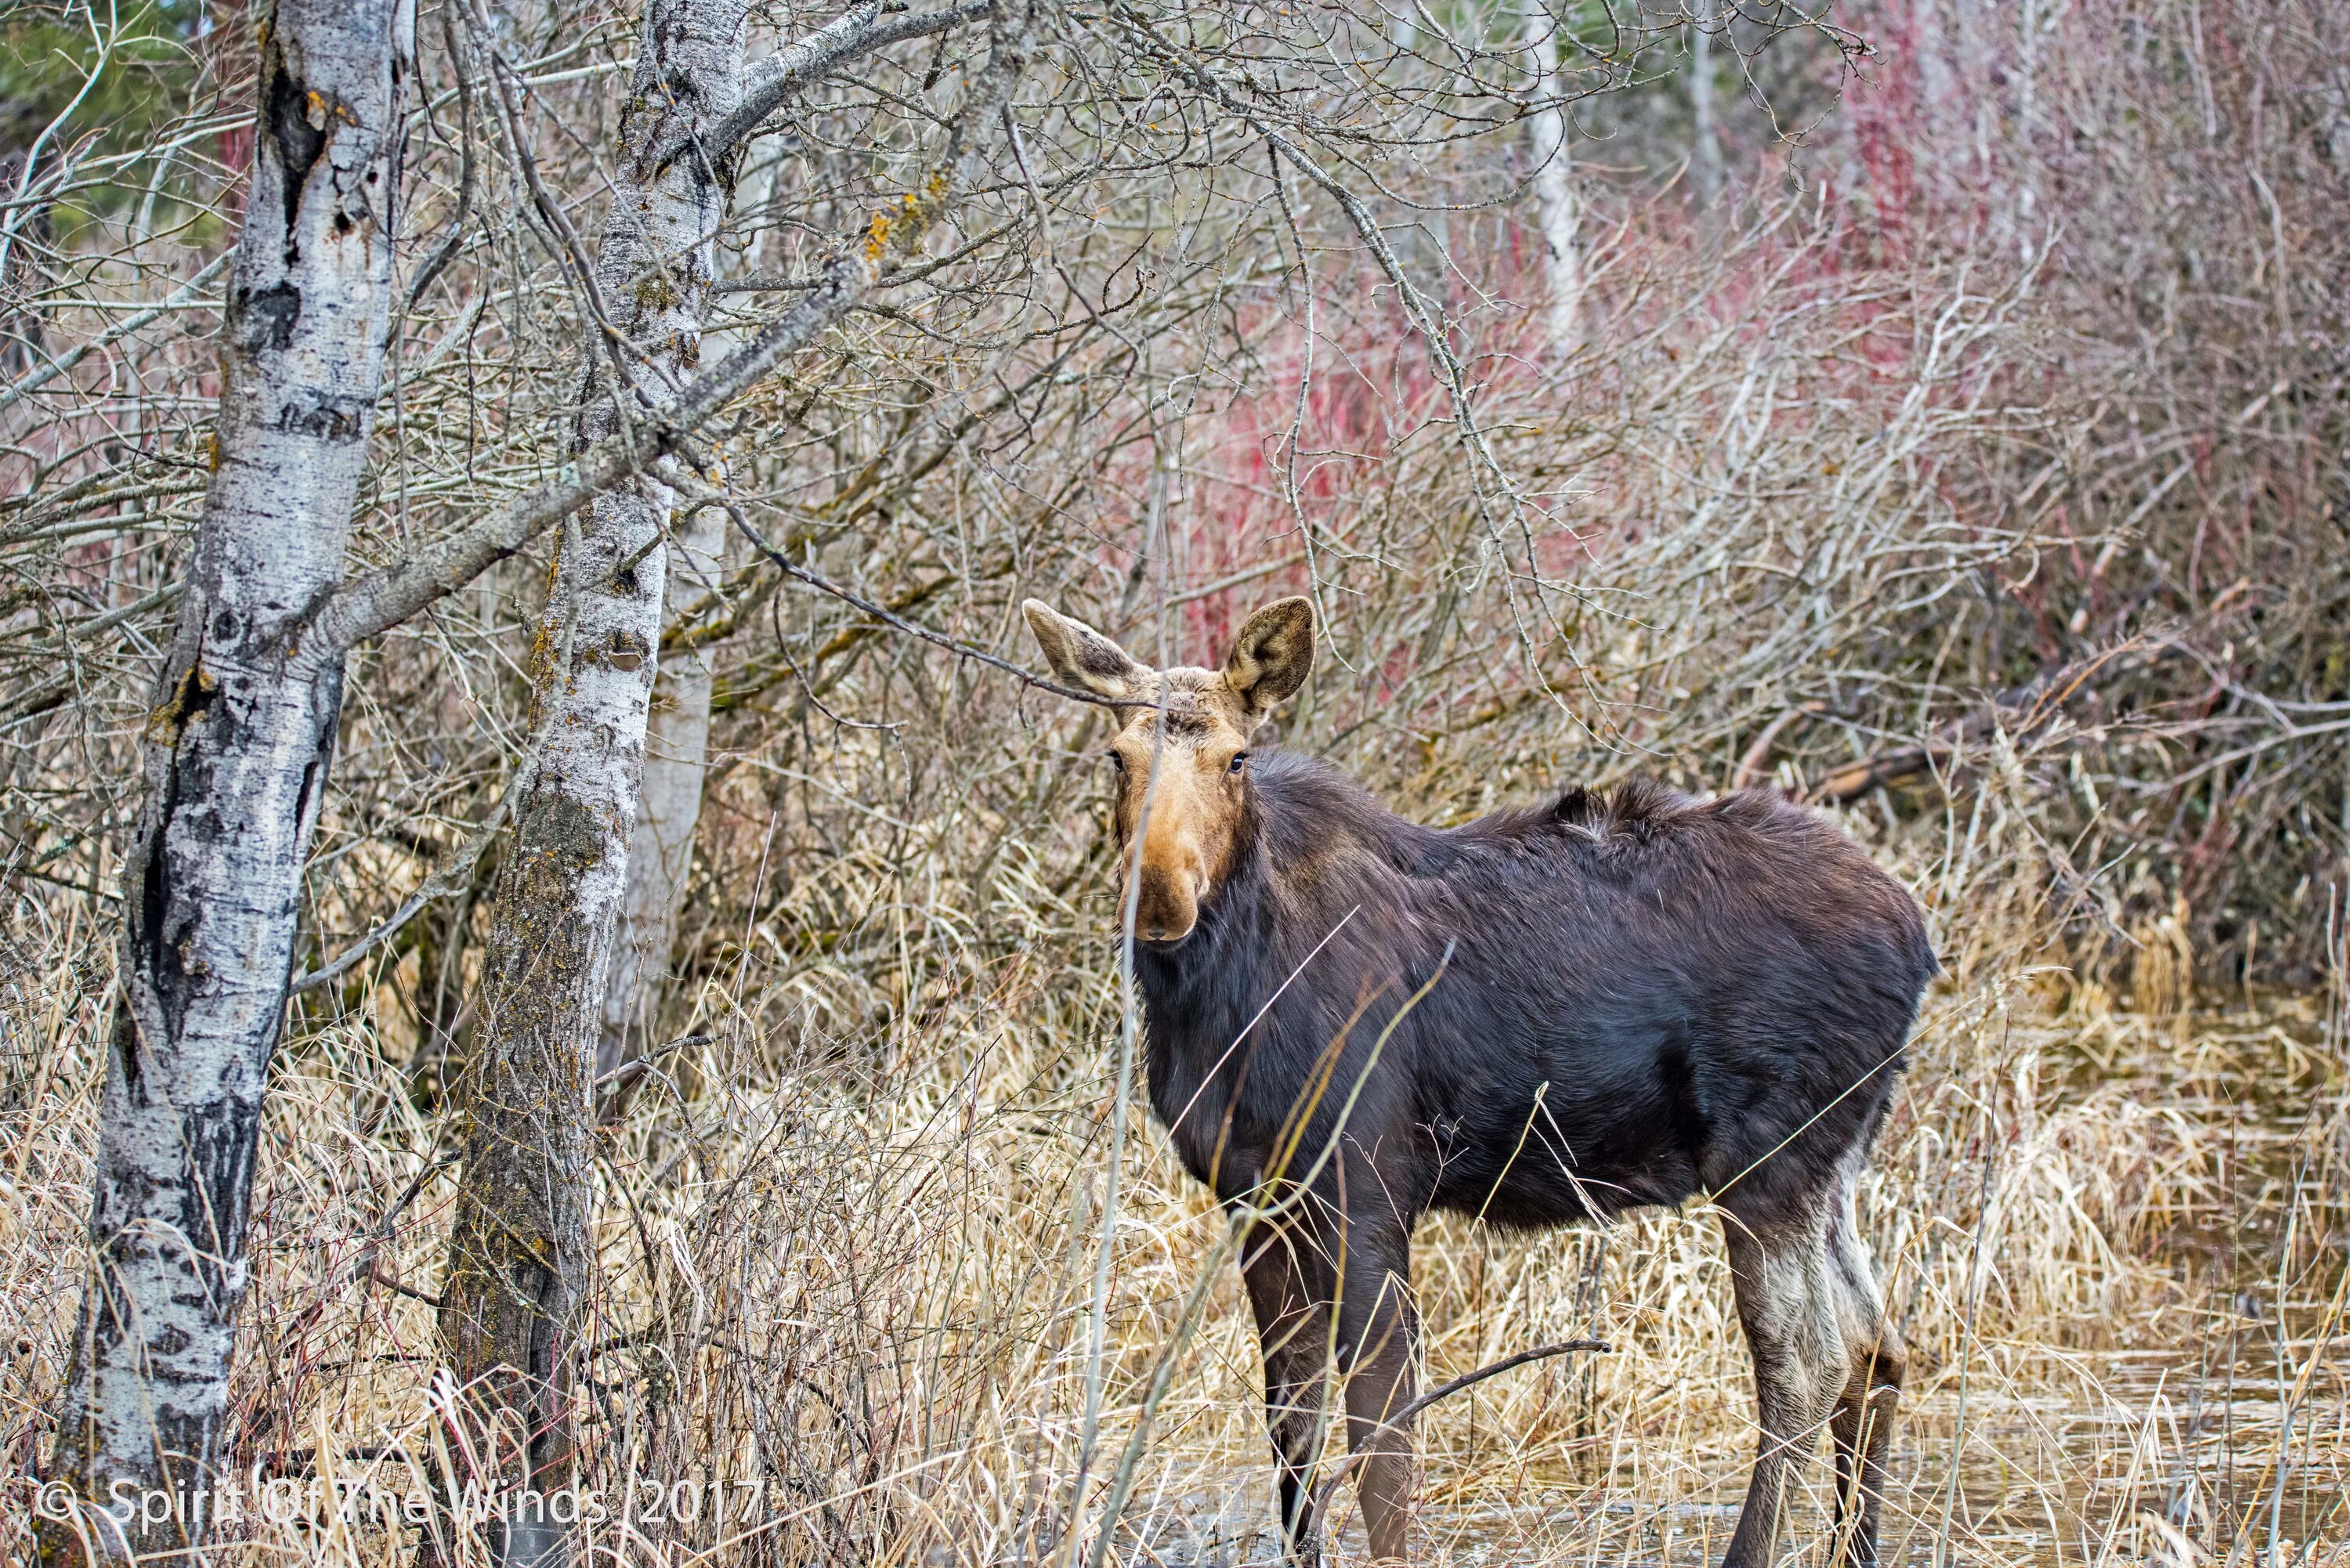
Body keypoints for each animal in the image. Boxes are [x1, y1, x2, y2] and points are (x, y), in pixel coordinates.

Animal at [1025, 597, 1927, 1568]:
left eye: (1236, 757)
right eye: (1117, 755)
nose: (1159, 898)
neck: (1218, 992)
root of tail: (1919, 937)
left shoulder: (1368, 1185)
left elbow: (1382, 1444)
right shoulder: (1254, 1198)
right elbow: (1292, 1429)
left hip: (1767, 1159)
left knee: (1806, 1362)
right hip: (1832, 1164)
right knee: (1877, 1344)